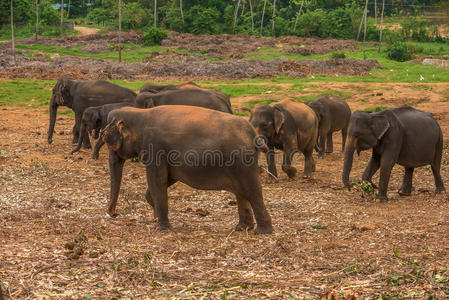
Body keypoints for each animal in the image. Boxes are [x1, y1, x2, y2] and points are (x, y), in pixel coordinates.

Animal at [102, 105, 272, 234]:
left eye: (106, 139)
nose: (113, 214)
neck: (139, 113)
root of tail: (253, 134)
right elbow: (168, 179)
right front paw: (156, 215)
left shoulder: (156, 149)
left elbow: (157, 180)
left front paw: (159, 227)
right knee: (241, 193)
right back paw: (242, 228)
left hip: (242, 163)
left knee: (253, 192)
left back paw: (262, 232)